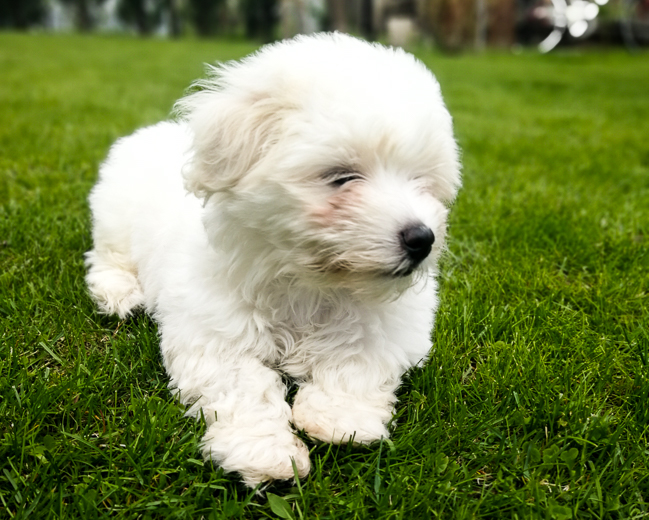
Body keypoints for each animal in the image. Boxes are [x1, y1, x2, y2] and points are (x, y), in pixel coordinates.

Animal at [86, 32, 460, 488]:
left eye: (423, 182)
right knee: (107, 258)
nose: (422, 238)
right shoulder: (214, 332)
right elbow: (243, 387)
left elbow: (359, 363)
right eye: (341, 177)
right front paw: (266, 452)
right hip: (114, 221)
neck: (311, 284)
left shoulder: (391, 328)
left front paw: (340, 420)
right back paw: (119, 294)